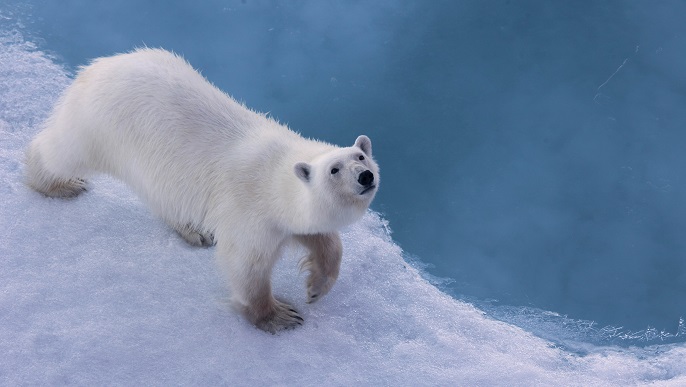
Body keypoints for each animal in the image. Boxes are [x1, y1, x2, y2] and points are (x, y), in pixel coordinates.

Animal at [25, 48, 382, 334]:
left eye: (360, 157)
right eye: (334, 169)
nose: (365, 177)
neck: (275, 172)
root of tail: (98, 65)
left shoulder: (283, 215)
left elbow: (321, 237)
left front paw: (316, 287)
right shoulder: (249, 210)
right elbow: (244, 263)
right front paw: (277, 316)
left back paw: (194, 231)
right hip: (97, 126)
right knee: (62, 152)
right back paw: (58, 183)